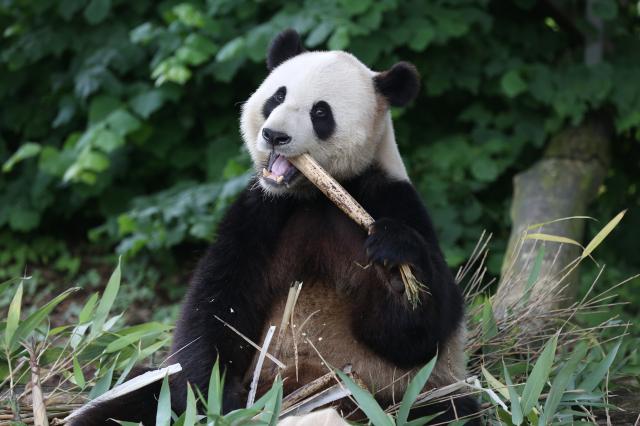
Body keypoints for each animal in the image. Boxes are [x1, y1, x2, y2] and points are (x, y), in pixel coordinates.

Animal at [71, 29, 480, 425]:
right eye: (277, 96)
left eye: (320, 112)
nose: (275, 135)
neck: (315, 193)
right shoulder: (261, 211)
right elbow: (215, 306)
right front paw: (214, 399)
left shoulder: (389, 196)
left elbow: (417, 335)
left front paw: (397, 270)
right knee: (133, 399)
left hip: (394, 398)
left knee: (448, 410)